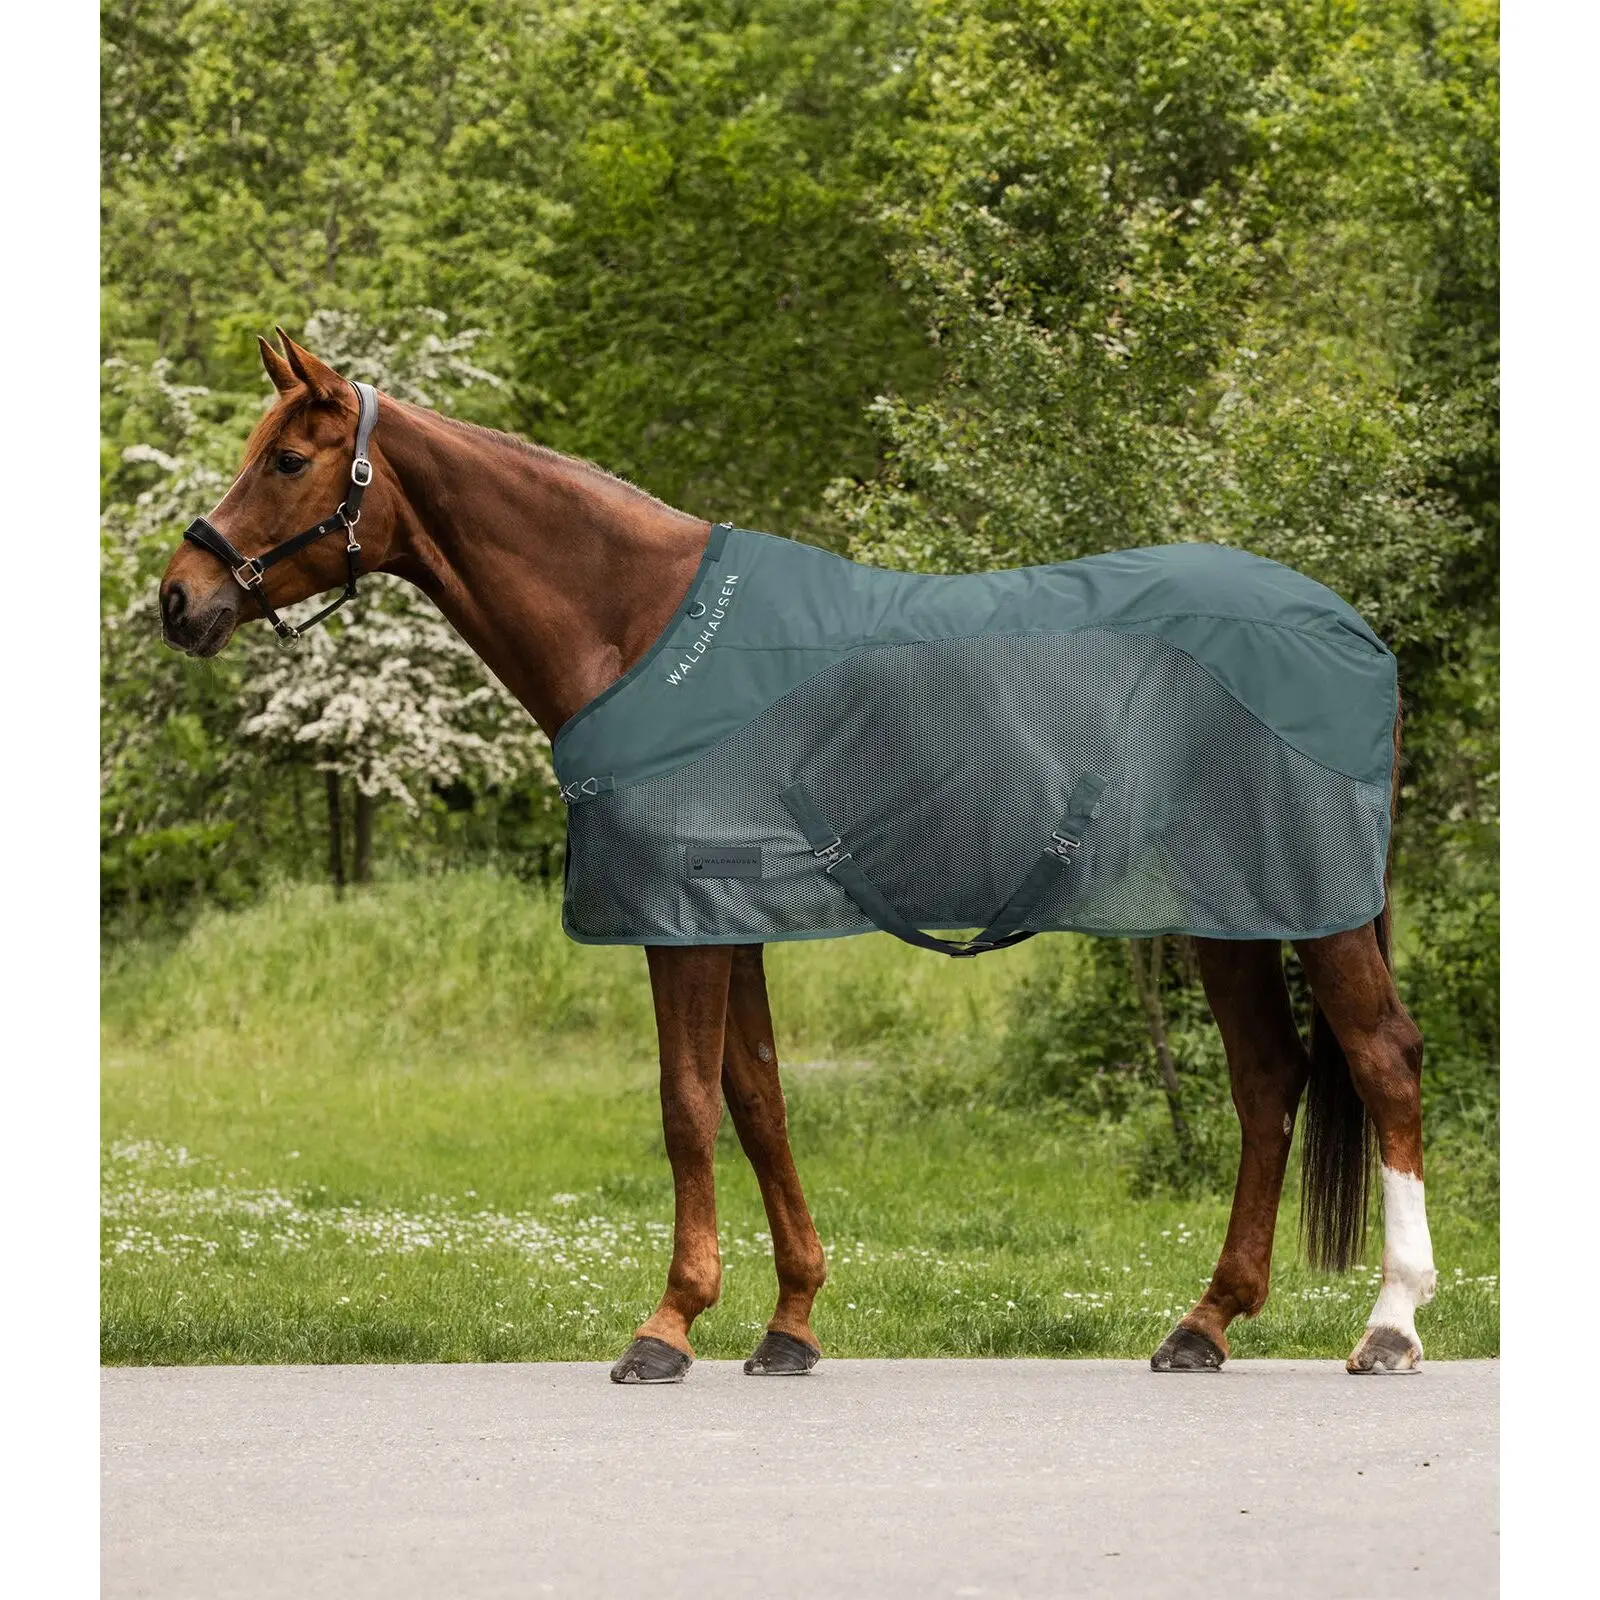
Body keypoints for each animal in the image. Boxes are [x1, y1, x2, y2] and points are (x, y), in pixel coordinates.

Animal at [157, 331, 1437, 1382]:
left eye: (288, 460)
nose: (180, 597)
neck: (639, 627)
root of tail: (1347, 627)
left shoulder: (681, 920)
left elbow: (685, 1105)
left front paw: (667, 1326)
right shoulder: (729, 922)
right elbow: (758, 1098)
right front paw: (789, 1323)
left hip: (1313, 910)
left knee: (1381, 1061)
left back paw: (1389, 1325)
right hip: (1227, 912)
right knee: (1269, 1080)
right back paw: (1203, 1323)